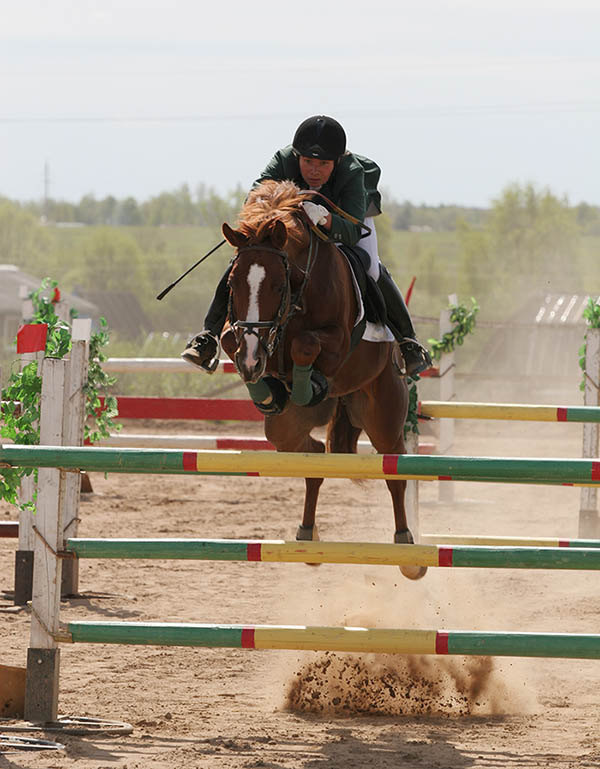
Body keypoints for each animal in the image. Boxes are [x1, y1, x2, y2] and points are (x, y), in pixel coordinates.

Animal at [220, 180, 426, 580]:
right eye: (233, 283)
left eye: (277, 284)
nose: (253, 361)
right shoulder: (243, 334)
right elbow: (229, 341)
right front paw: (266, 387)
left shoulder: (337, 341)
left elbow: (306, 344)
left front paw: (304, 383)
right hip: (284, 431)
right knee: (313, 457)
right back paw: (307, 535)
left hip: (383, 416)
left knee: (395, 470)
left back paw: (407, 549)